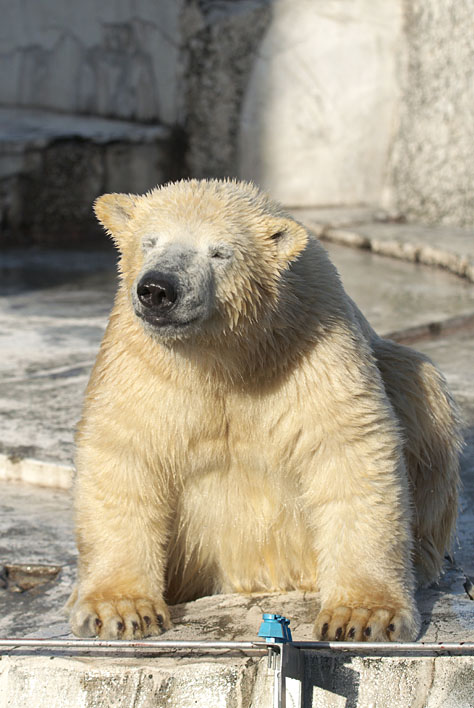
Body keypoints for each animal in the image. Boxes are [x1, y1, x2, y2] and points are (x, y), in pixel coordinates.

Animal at [66, 178, 460, 640]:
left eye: (219, 252)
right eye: (149, 242)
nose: (158, 289)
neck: (226, 356)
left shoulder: (310, 341)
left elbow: (348, 447)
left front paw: (362, 616)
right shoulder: (144, 361)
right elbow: (124, 450)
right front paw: (120, 610)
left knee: (421, 389)